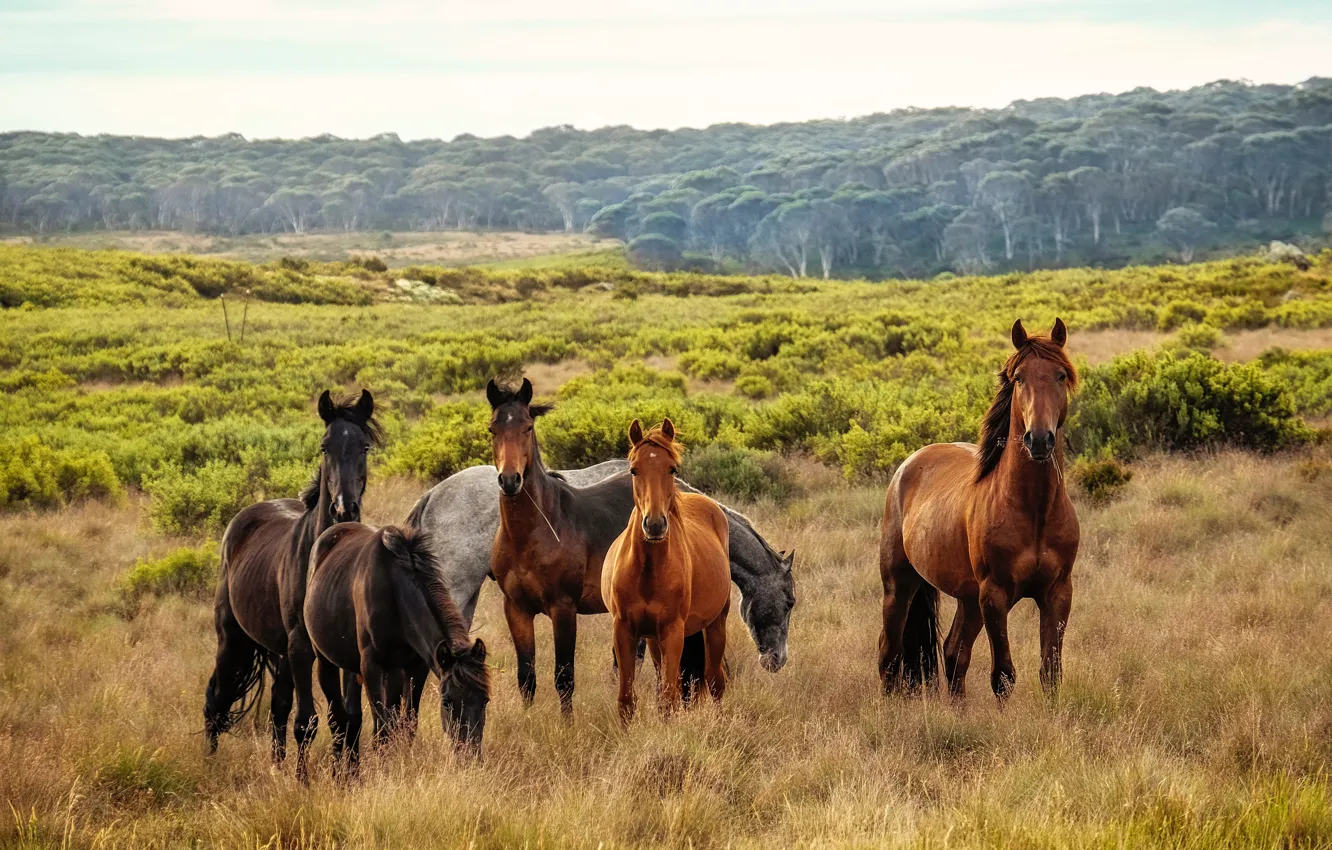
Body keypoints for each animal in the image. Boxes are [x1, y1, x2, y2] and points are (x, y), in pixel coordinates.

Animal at [202, 394, 380, 788]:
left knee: (278, 707)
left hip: (279, 652)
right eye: (325, 446)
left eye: (364, 446)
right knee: (216, 699)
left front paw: (348, 777)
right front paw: (304, 782)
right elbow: (309, 721)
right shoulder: (301, 647)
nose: (344, 507)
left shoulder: (344, 651)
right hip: (233, 640)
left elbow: (348, 718)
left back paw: (276, 766)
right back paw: (208, 763)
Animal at [305, 522, 492, 767]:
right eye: (447, 702)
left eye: (485, 701)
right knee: (337, 719)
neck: (394, 591)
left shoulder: (416, 668)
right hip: (326, 662)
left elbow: (407, 724)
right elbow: (382, 730)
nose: (470, 756)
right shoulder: (371, 667)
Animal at [602, 423, 729, 724]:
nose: (655, 525)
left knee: (715, 681)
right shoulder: (624, 629)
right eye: (634, 470)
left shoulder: (673, 631)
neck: (648, 571)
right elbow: (627, 699)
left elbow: (670, 699)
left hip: (716, 625)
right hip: (652, 639)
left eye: (672, 469)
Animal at [873, 319, 1081, 698]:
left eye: (1060, 375)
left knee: (954, 653)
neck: (1034, 511)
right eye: (1019, 378)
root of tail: (908, 465)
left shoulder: (1058, 593)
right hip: (899, 586)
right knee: (889, 654)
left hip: (967, 599)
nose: (1039, 440)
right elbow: (1003, 676)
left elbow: (1051, 672)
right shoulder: (995, 597)